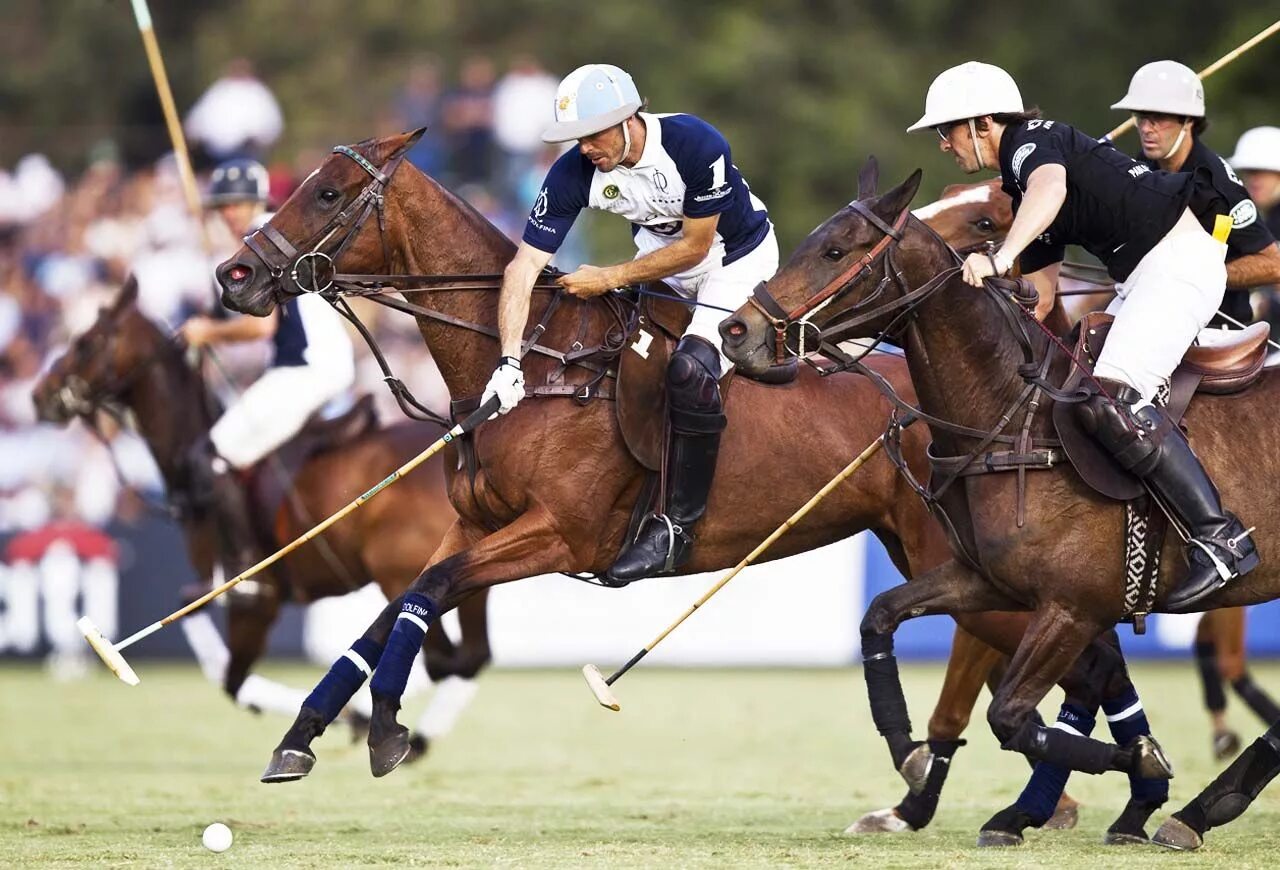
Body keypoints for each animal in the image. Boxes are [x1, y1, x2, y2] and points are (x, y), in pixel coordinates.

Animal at [31, 278, 488, 762]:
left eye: (85, 342)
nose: (39, 397)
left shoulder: (254, 602)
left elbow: (232, 681)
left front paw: (341, 719)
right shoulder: (216, 587)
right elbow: (191, 614)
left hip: (397, 569)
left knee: (445, 659)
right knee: (468, 657)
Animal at [220, 131, 1172, 844]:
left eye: (329, 193)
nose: (234, 276)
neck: (538, 359)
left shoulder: (558, 534)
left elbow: (426, 594)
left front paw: (384, 727)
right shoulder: (471, 526)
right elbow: (395, 610)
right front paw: (302, 739)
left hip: (982, 570)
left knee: (1083, 650)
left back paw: (1117, 798)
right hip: (950, 562)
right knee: (1081, 651)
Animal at [721, 163, 1280, 849]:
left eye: (835, 250)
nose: (736, 331)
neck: (1014, 419)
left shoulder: (1072, 607)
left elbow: (1011, 715)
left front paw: (1137, 769)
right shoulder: (988, 582)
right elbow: (879, 618)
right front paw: (912, 758)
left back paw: (1201, 804)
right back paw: (1201, 806)